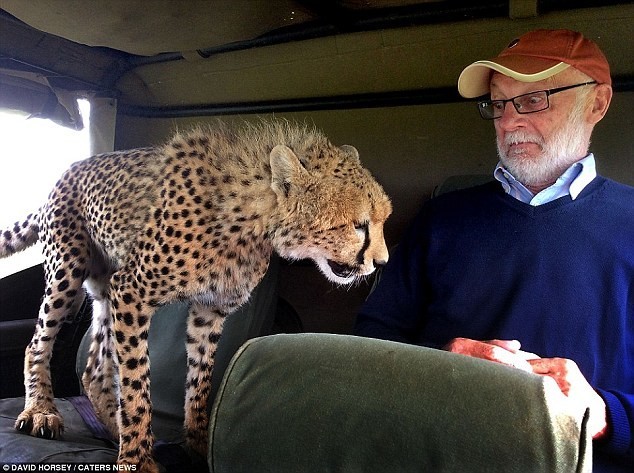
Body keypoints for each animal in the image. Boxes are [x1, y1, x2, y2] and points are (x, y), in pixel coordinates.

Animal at [1, 120, 390, 470]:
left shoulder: (209, 310)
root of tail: (70, 169)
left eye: (382, 220)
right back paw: (42, 411)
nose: (382, 261)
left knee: (95, 367)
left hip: (103, 287)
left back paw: (112, 429)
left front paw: (199, 446)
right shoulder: (131, 291)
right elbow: (136, 380)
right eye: (358, 225)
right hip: (68, 270)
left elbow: (200, 381)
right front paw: (137, 459)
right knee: (38, 343)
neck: (252, 218)